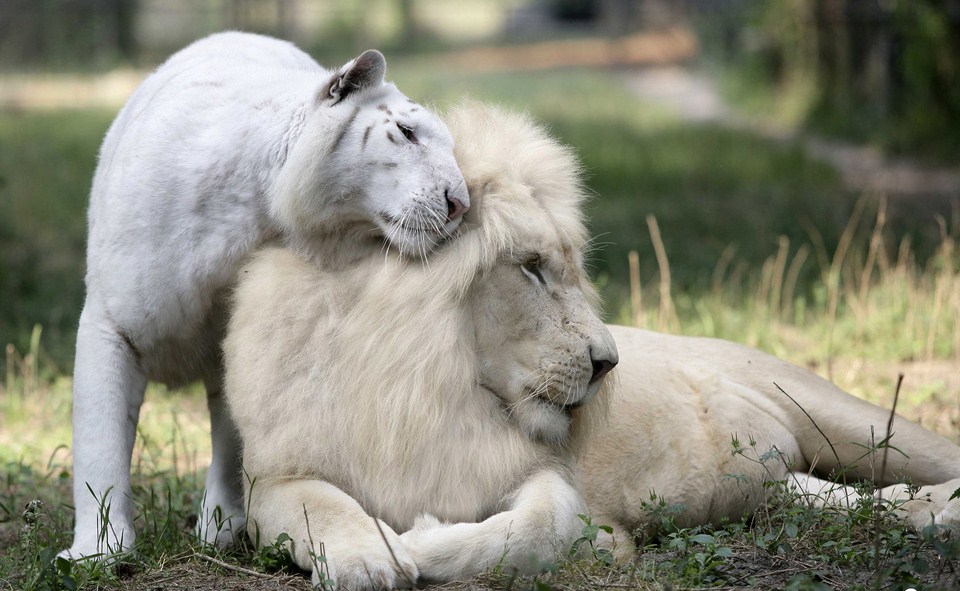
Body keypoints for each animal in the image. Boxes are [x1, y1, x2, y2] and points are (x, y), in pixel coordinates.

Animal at [66, 31, 468, 560]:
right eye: (406, 132)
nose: (462, 204)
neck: (255, 209)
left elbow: (234, 438)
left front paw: (219, 527)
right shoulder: (111, 324)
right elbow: (100, 440)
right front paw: (99, 551)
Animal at [225, 102, 960, 589]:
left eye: (571, 269)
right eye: (530, 267)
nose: (609, 364)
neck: (420, 384)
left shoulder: (542, 476)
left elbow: (536, 529)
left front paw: (424, 539)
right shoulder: (273, 476)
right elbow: (321, 505)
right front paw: (368, 557)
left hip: (847, 417)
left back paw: (942, 506)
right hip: (781, 479)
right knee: (836, 495)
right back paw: (919, 508)